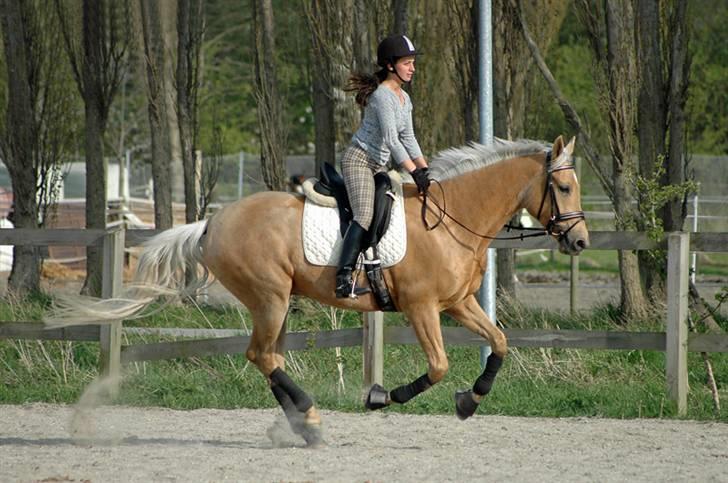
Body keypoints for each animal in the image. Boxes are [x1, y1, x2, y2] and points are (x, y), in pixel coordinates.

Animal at [48, 135, 588, 446]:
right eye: (563, 189)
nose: (580, 240)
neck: (452, 217)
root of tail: (211, 223)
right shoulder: (422, 308)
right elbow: (437, 366)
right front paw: (381, 396)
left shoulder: (458, 304)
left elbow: (499, 342)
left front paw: (469, 401)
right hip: (269, 299)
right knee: (261, 355)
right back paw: (307, 421)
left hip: (279, 302)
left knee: (269, 357)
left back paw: (298, 423)